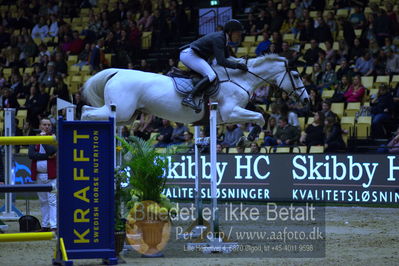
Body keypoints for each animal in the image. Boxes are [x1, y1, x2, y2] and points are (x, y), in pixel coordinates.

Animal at [79, 54, 308, 127]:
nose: (306, 100)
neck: (239, 80)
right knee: (85, 112)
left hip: (126, 116)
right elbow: (260, 117)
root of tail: (116, 72)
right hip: (120, 110)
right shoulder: (230, 112)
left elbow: (260, 116)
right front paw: (252, 136)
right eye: (297, 76)